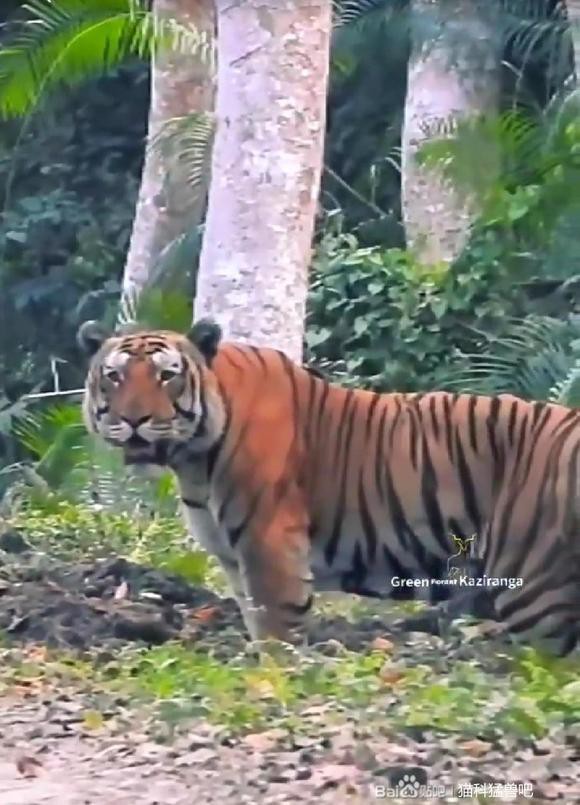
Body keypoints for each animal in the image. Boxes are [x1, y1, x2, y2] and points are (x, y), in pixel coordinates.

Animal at [77, 318, 580, 655]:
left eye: (167, 375)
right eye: (114, 376)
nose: (135, 419)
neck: (193, 461)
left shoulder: (268, 543)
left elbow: (277, 630)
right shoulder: (233, 558)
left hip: (535, 590)